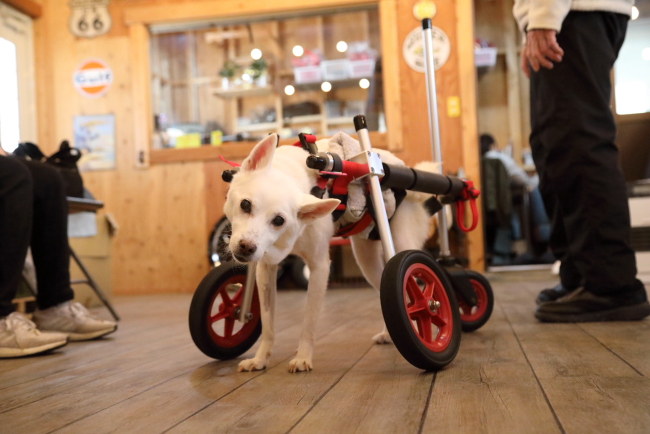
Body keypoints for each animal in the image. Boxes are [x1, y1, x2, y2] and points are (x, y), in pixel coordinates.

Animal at [223, 133, 440, 372]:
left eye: (279, 220)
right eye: (245, 204)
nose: (247, 247)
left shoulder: (319, 267)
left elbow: (309, 321)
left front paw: (303, 357)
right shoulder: (266, 270)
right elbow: (268, 324)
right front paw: (260, 359)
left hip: (400, 247)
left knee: (411, 286)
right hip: (368, 262)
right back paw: (388, 334)